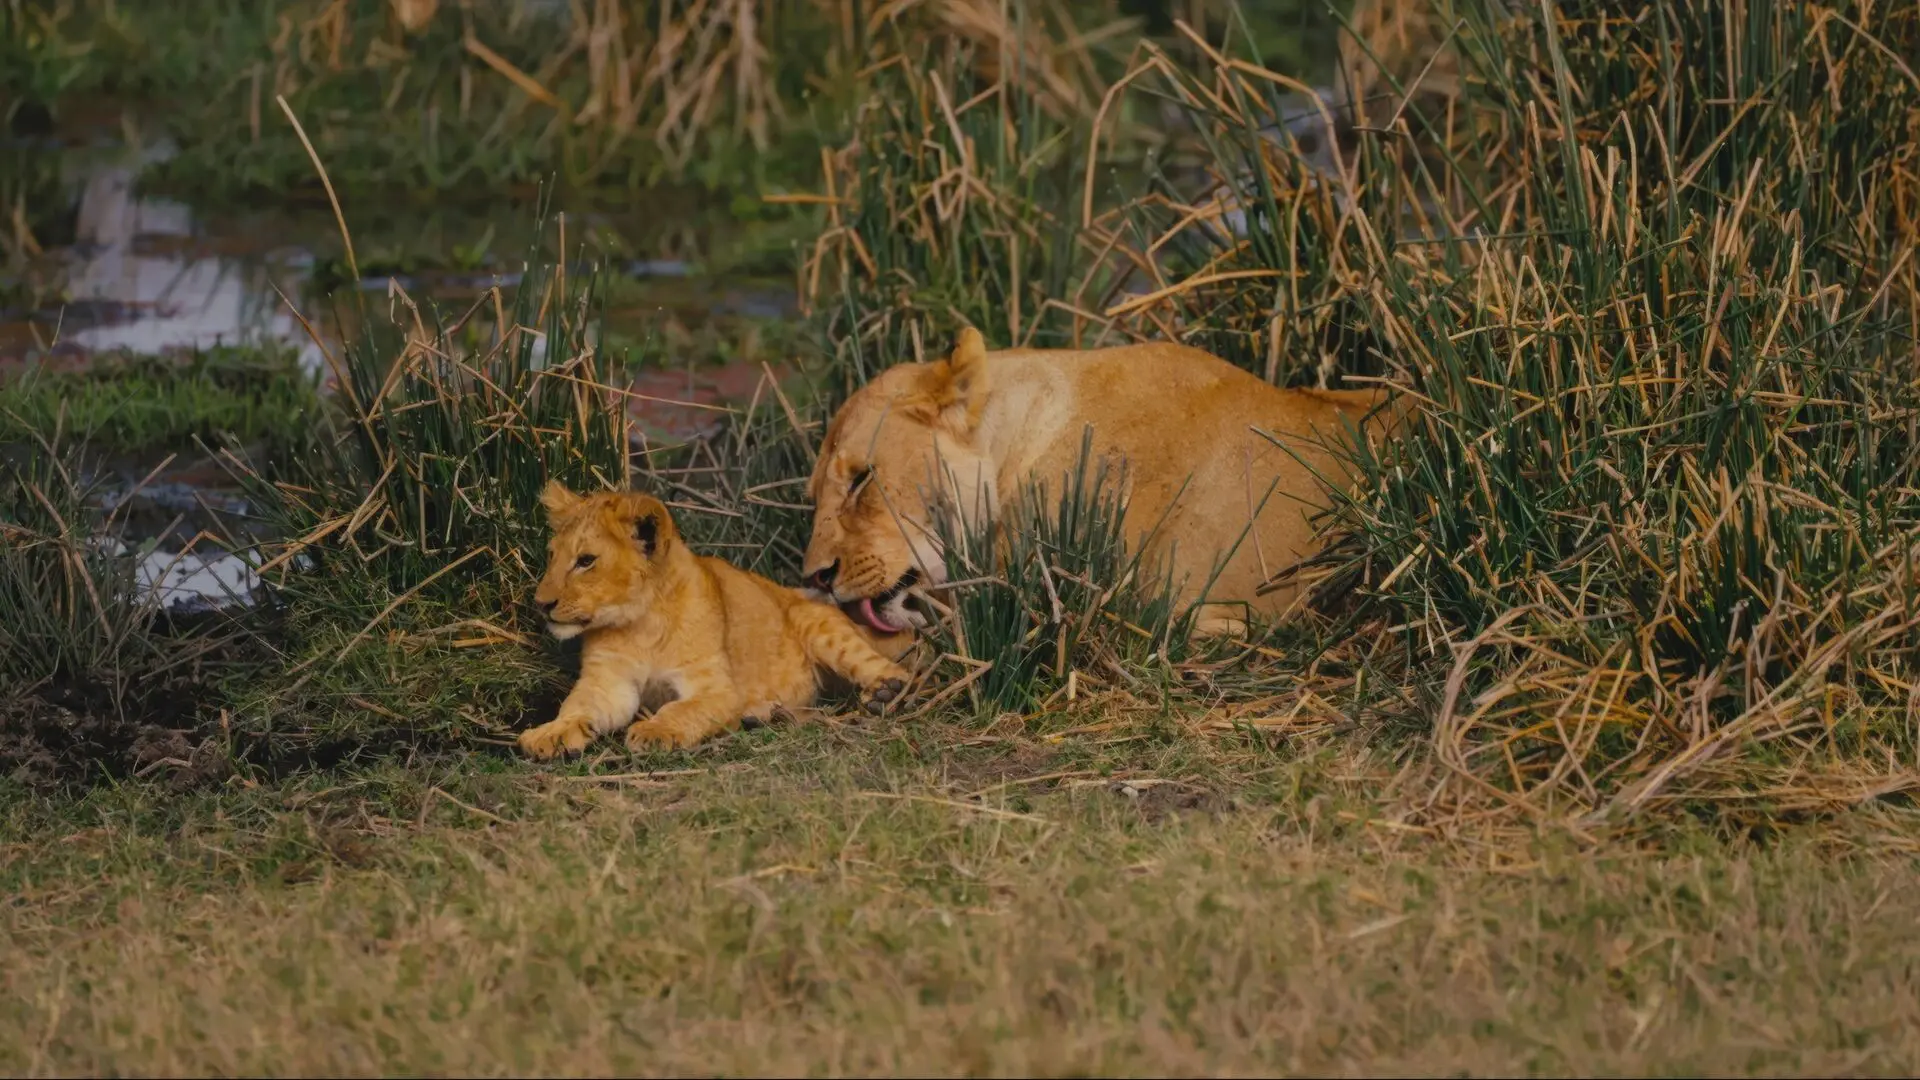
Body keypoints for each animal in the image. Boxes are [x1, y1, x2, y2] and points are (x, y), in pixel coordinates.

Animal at [517, 482, 912, 758]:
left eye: (586, 561)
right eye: (552, 556)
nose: (541, 603)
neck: (639, 624)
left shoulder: (716, 688)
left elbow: (681, 708)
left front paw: (654, 731)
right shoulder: (608, 684)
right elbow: (576, 707)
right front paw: (550, 733)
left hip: (820, 624)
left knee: (895, 669)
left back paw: (884, 694)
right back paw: (764, 715)